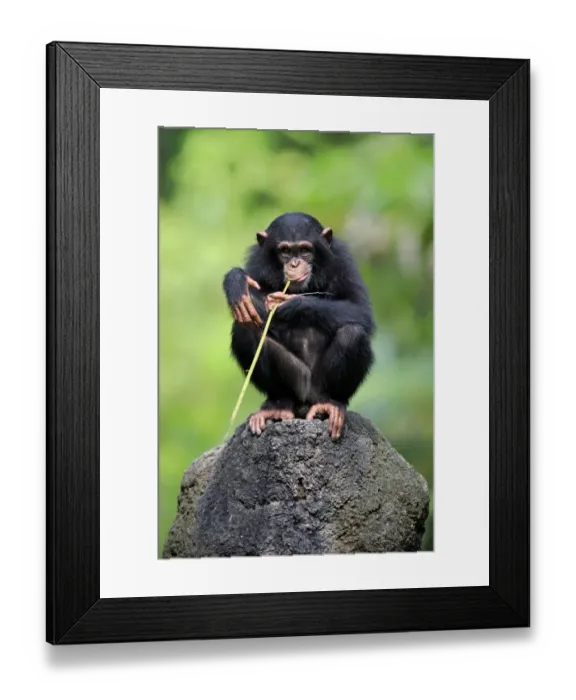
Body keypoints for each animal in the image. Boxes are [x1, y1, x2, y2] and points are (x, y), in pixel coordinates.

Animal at [223, 212, 375, 440]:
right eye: (285, 251)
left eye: (304, 250)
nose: (294, 264)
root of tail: (305, 402)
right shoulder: (257, 261)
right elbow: (251, 307)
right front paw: (236, 282)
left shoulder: (343, 260)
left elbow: (361, 310)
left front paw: (290, 303)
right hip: (297, 381)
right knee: (244, 330)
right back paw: (278, 405)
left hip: (316, 386)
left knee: (353, 332)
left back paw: (330, 404)